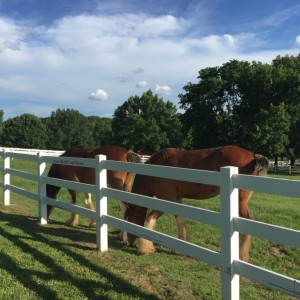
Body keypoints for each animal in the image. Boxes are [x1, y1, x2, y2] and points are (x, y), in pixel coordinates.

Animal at [124, 146, 270, 262]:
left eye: (129, 219)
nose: (127, 242)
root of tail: (253, 155)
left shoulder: (167, 199)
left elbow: (149, 219)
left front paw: (144, 249)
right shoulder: (177, 200)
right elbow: (181, 220)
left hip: (240, 202)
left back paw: (241, 256)